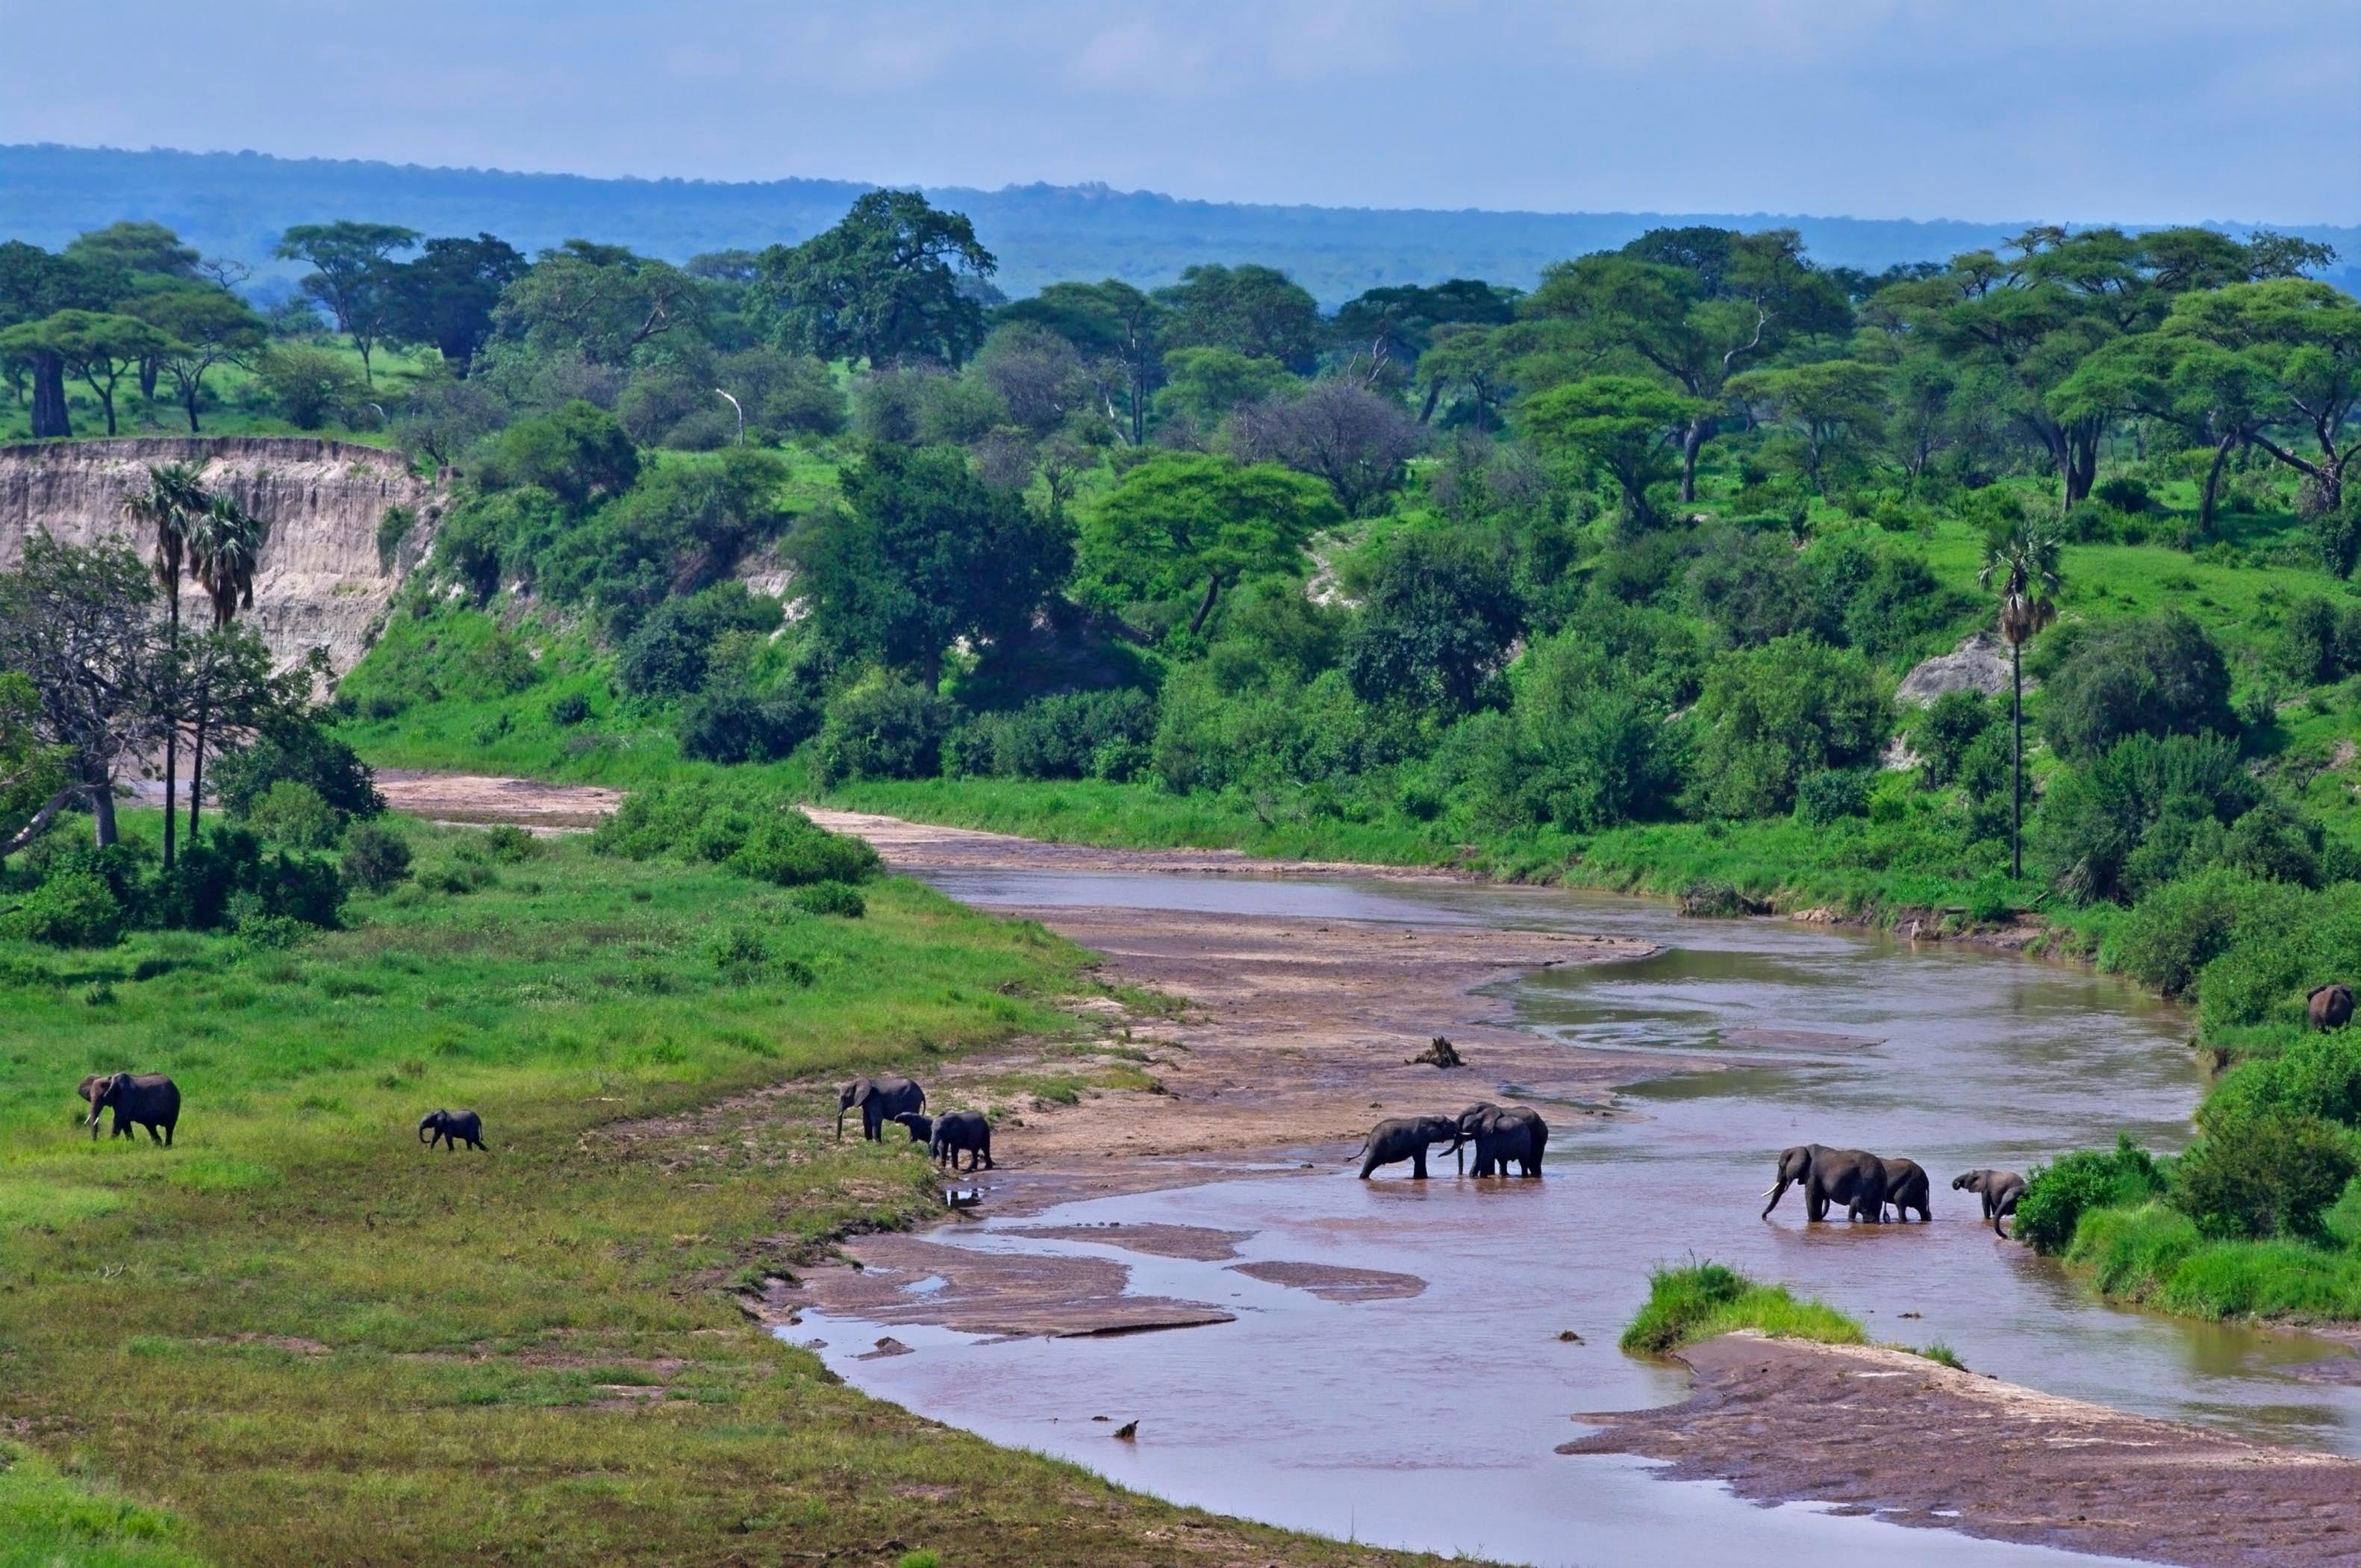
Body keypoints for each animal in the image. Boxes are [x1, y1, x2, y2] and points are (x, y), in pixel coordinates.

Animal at [1359, 1114, 1464, 1175]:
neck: (1431, 1119)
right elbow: (1420, 1159)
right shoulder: (1420, 1141)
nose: (1439, 1156)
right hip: (1376, 1147)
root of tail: (1369, 1138)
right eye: (1450, 1124)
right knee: (1369, 1164)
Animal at [1765, 1147, 1889, 1218]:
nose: (1764, 1217)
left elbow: (1812, 1197)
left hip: (1867, 1181)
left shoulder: (1812, 1174)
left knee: (1858, 1205)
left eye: (1780, 1166)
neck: (1802, 1148)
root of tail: (1883, 1170)